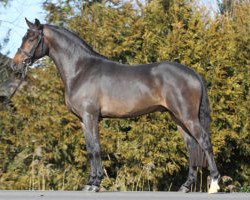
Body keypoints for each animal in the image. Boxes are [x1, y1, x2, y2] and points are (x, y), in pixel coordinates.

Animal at [10, 18, 220, 194]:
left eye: (31, 39)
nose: (15, 65)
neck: (81, 70)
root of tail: (193, 73)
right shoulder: (83, 120)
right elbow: (90, 149)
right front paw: (90, 182)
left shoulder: (90, 116)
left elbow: (96, 148)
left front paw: (95, 184)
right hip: (178, 118)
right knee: (192, 146)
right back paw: (185, 186)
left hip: (188, 117)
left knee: (204, 142)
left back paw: (215, 184)